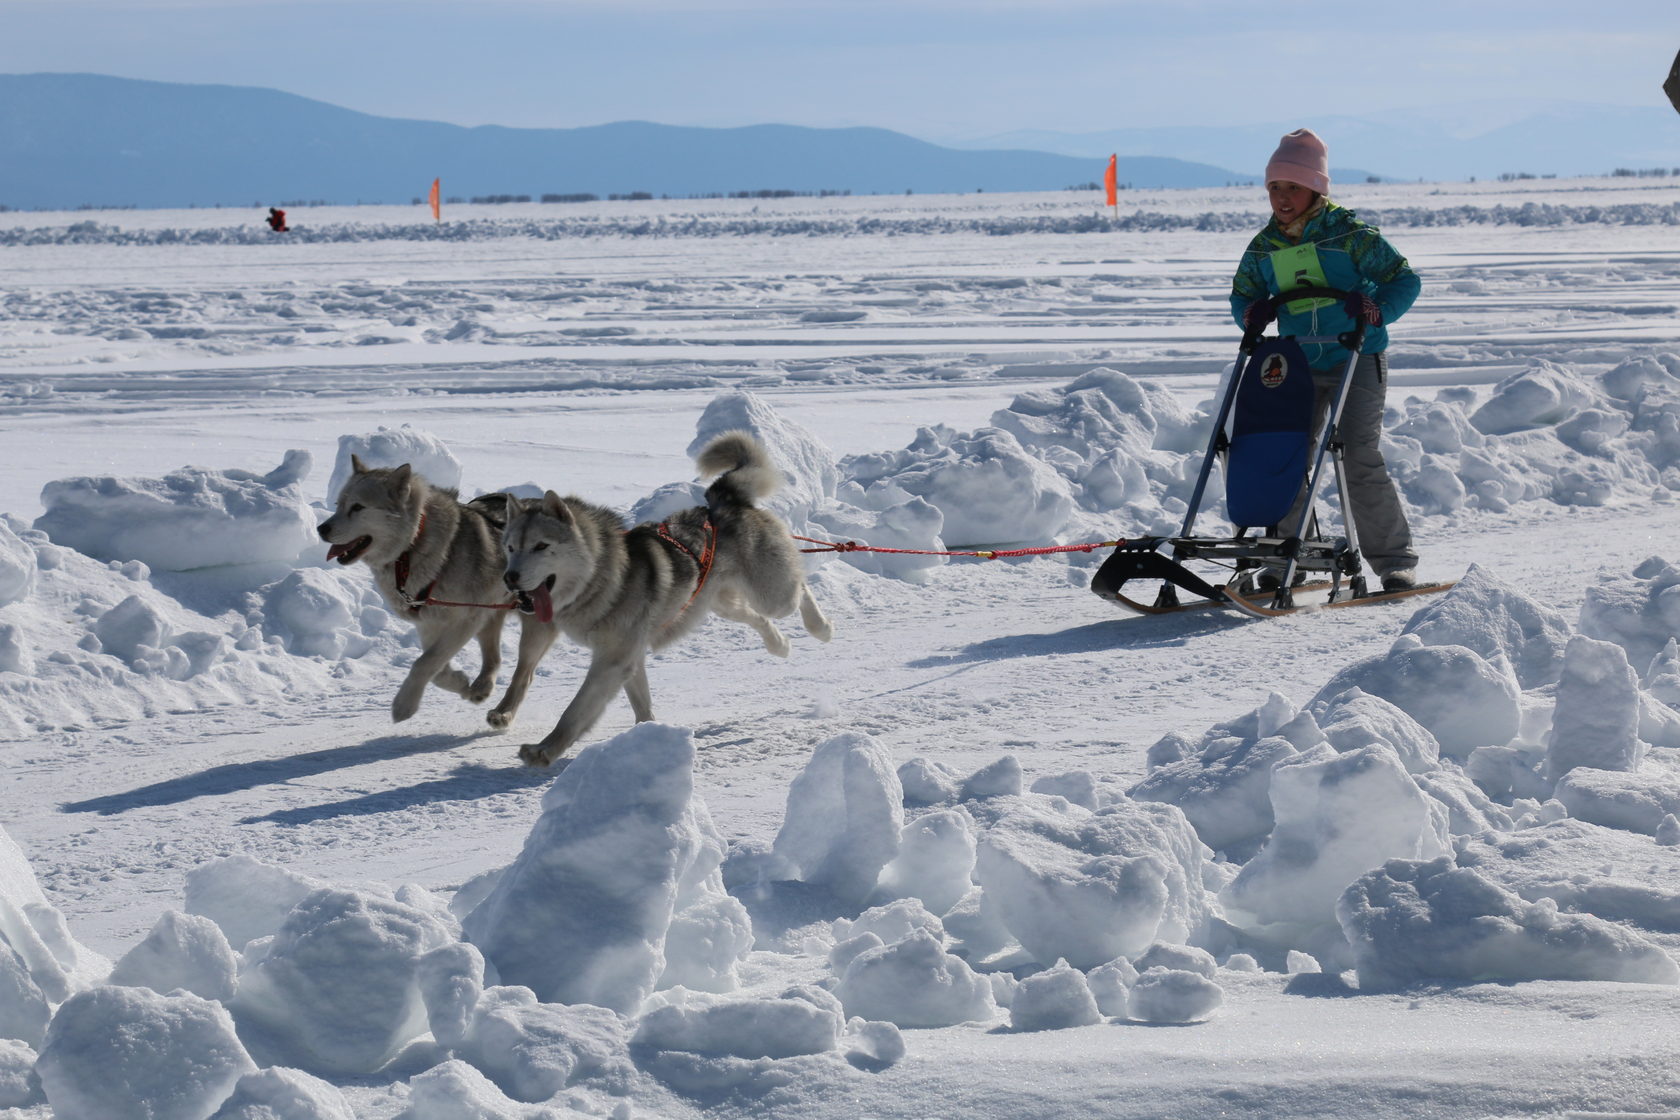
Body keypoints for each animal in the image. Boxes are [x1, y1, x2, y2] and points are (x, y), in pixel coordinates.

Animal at [312, 456, 554, 732]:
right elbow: (435, 668)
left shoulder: (465, 620)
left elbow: (423, 664)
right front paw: (460, 683)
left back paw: (504, 713)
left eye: (357, 507)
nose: (321, 528)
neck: (410, 549)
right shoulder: (430, 624)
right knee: (494, 659)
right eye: (338, 505)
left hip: (532, 626)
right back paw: (480, 688)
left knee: (524, 675)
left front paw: (404, 704)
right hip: (489, 618)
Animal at [500, 433, 836, 772]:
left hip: (773, 595)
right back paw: (778, 645)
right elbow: (641, 705)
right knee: (759, 618)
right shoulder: (630, 658)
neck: (605, 576)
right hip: (722, 604)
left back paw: (820, 627)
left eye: (541, 546)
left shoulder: (611, 661)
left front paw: (544, 750)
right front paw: (647, 740)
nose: (509, 578)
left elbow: (575, 711)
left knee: (800, 588)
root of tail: (724, 500)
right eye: (511, 547)